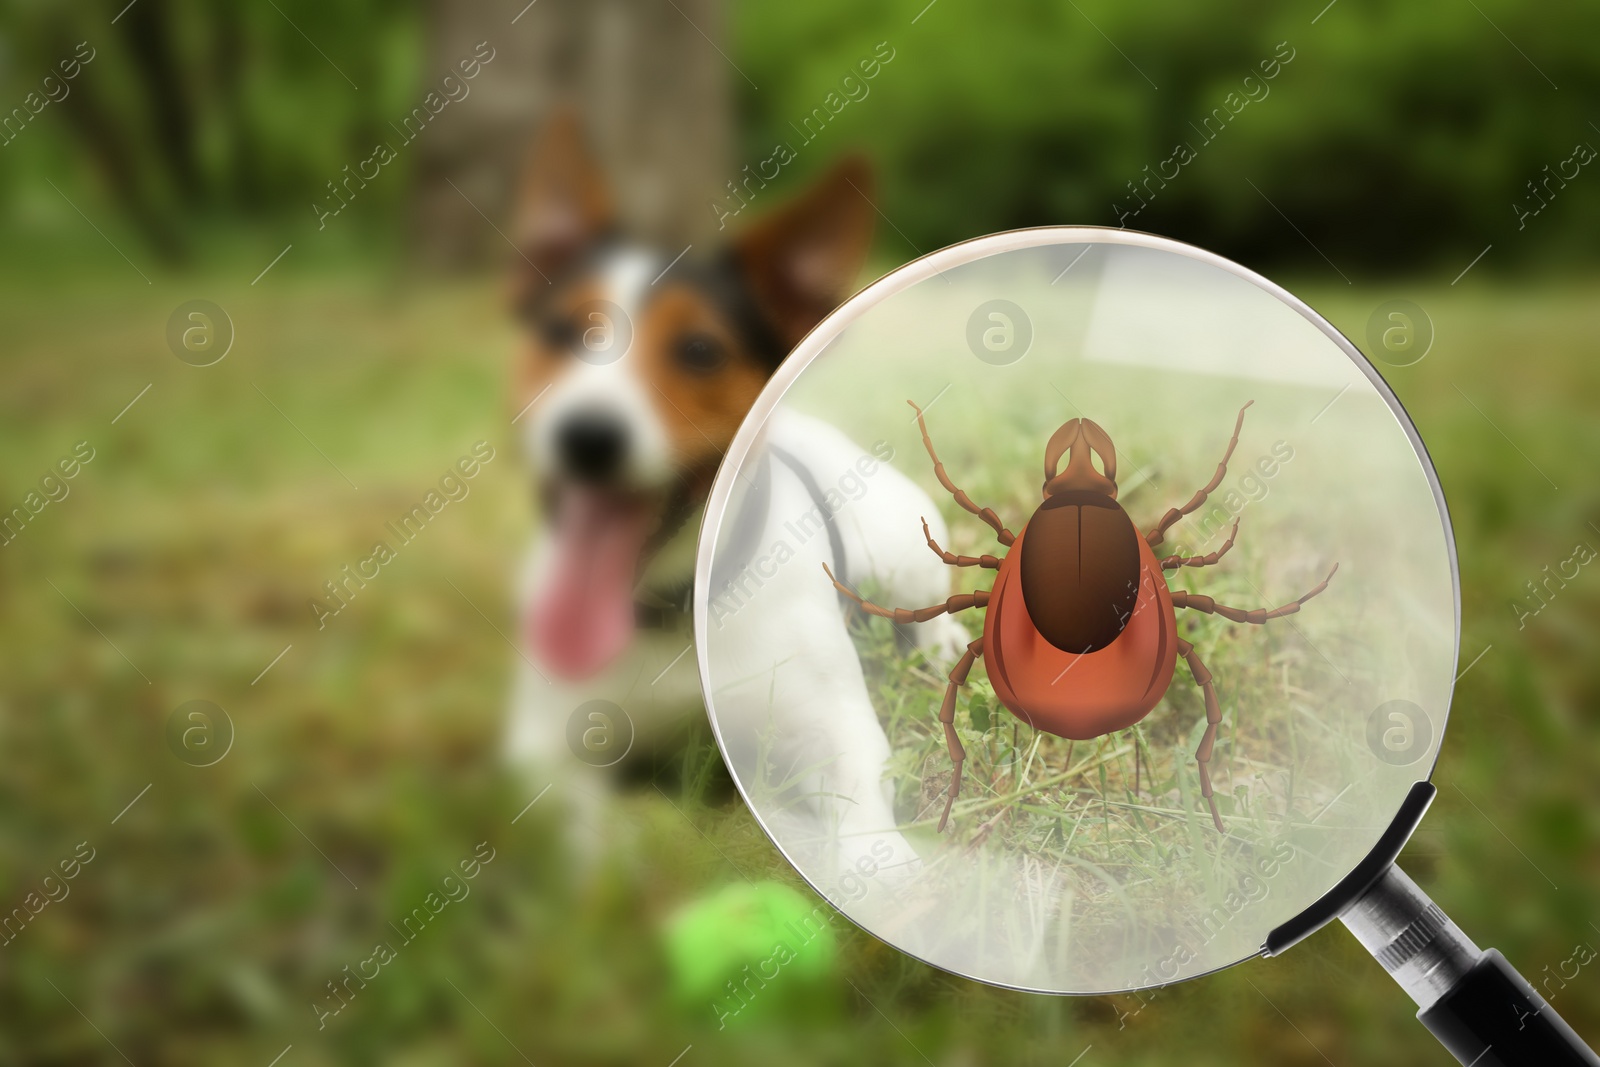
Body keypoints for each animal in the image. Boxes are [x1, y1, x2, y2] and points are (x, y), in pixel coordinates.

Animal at [502, 116, 960, 883]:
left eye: (698, 349)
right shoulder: (540, 743)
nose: (586, 435)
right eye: (562, 332)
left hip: (899, 549)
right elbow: (580, 827)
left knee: (926, 604)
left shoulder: (834, 727)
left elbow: (862, 817)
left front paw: (891, 879)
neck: (672, 609)